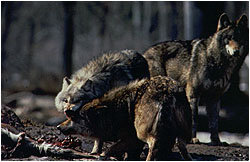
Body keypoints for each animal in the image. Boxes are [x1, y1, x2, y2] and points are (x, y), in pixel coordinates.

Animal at [57, 76, 192, 161]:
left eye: (75, 116)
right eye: (71, 115)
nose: (58, 127)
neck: (115, 112)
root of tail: (167, 93)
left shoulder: (133, 138)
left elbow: (112, 148)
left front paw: (103, 155)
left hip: (143, 133)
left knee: (153, 148)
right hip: (181, 135)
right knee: (181, 147)